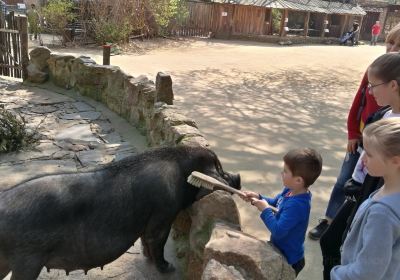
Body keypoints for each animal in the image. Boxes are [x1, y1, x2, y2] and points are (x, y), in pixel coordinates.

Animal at [0, 145, 239, 278]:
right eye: (219, 169)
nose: (237, 176)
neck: (182, 173)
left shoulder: (147, 222)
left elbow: (145, 242)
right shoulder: (163, 215)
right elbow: (157, 242)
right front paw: (167, 268)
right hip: (27, 259)